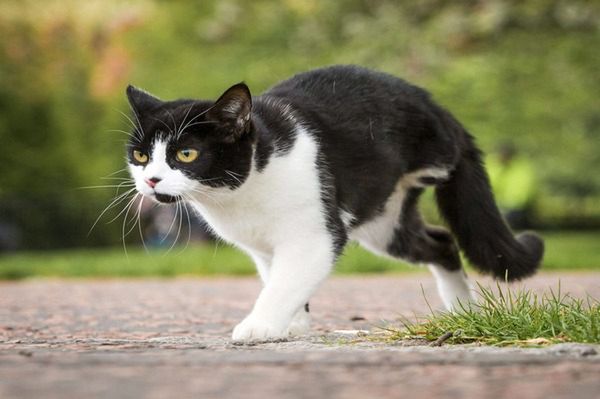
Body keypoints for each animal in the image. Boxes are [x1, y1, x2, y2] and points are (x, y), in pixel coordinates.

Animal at [125, 65, 544, 340]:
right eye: (140, 155)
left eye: (187, 154)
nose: (150, 179)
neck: (240, 193)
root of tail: (434, 104)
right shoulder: (263, 248)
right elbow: (277, 277)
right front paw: (293, 323)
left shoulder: (315, 235)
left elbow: (285, 281)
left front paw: (260, 326)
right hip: (384, 222)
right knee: (441, 242)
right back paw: (462, 309)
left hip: (425, 161)